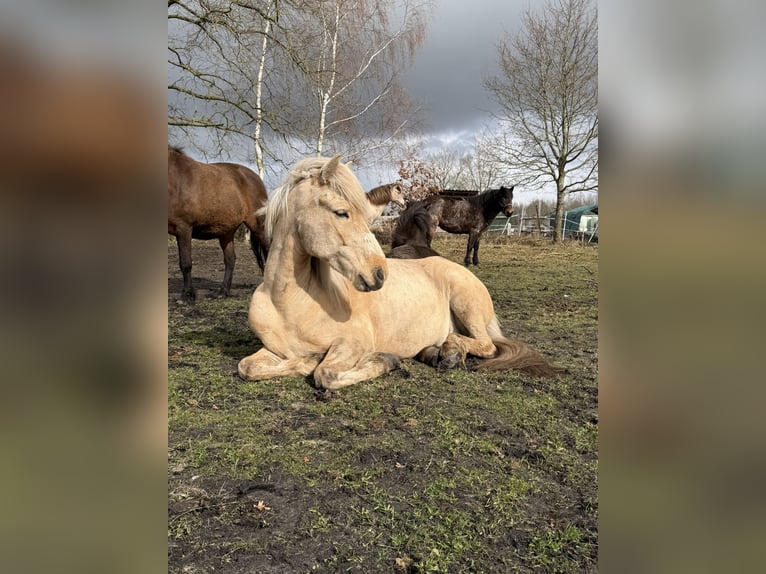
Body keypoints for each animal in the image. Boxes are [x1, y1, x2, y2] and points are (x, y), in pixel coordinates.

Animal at [168, 146, 269, 302]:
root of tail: (255, 177)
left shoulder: (183, 228)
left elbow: (185, 263)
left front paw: (186, 295)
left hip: (258, 227)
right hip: (226, 233)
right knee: (230, 260)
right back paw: (222, 291)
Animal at [237, 155, 557, 390]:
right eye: (341, 212)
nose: (380, 273)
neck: (288, 303)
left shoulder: (354, 343)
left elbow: (324, 374)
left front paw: (383, 361)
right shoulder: (274, 350)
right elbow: (246, 367)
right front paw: (307, 359)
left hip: (466, 307)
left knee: (486, 345)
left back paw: (450, 353)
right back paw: (436, 353)